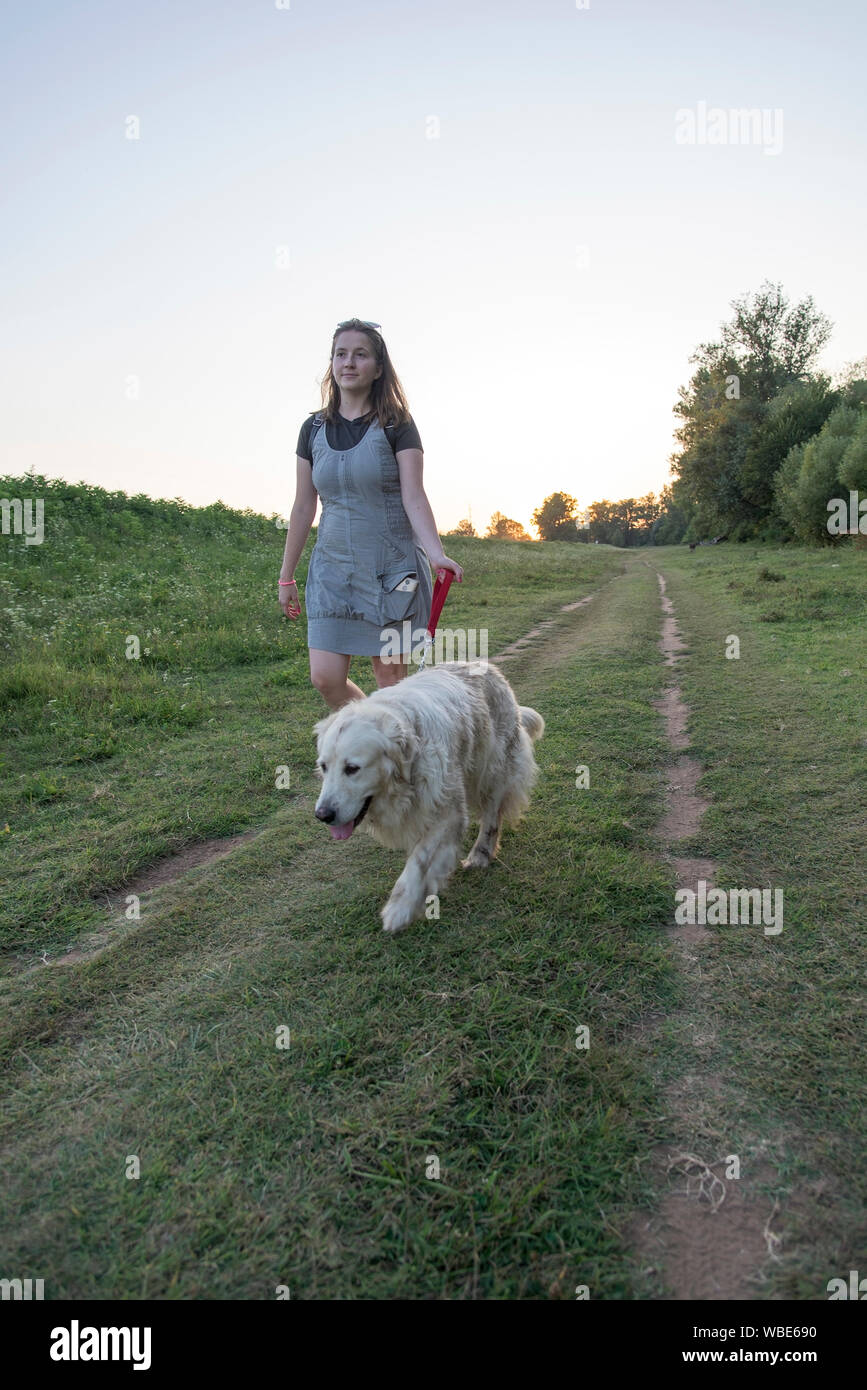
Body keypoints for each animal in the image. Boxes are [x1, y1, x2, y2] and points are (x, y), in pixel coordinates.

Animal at [311, 658, 541, 934]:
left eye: (352, 768)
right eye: (324, 766)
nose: (322, 815)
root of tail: (483, 664)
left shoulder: (448, 813)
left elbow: (419, 862)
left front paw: (400, 908)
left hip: (492, 769)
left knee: (491, 816)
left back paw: (481, 853)